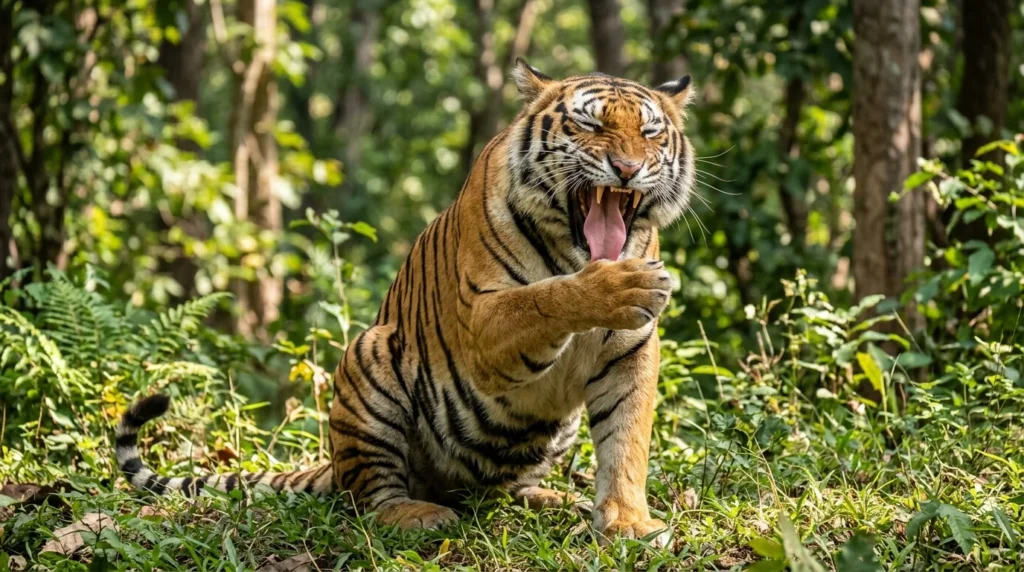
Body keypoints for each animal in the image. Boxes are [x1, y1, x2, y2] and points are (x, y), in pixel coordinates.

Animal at [116, 58, 696, 546]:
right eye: (589, 126)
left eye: (649, 132)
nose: (626, 168)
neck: (579, 251)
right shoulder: (484, 324)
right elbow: (543, 298)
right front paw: (623, 286)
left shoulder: (630, 351)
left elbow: (626, 442)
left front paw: (628, 522)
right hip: (370, 356)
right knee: (368, 496)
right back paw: (416, 513)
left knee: (500, 488)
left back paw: (545, 497)